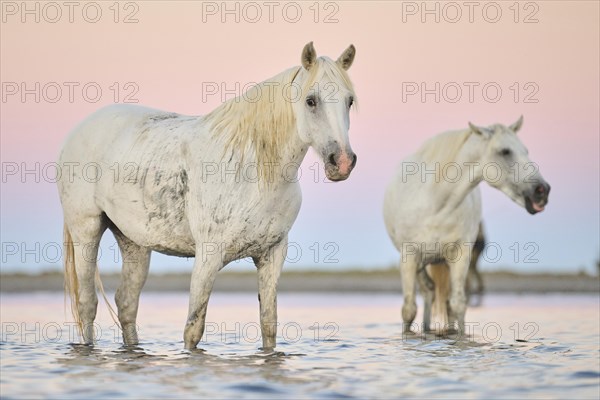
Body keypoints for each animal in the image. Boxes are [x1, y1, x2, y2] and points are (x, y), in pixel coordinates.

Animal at [57, 43, 356, 350]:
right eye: (311, 100)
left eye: (349, 101)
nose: (342, 162)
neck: (255, 171)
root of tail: (79, 130)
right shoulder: (208, 256)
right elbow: (194, 328)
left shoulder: (272, 255)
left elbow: (268, 326)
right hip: (87, 231)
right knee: (87, 304)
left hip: (134, 242)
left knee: (126, 303)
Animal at [384, 118, 548, 334]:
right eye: (505, 151)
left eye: (526, 150)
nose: (542, 191)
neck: (436, 204)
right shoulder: (409, 257)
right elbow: (409, 310)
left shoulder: (460, 256)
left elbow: (458, 305)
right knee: (428, 293)